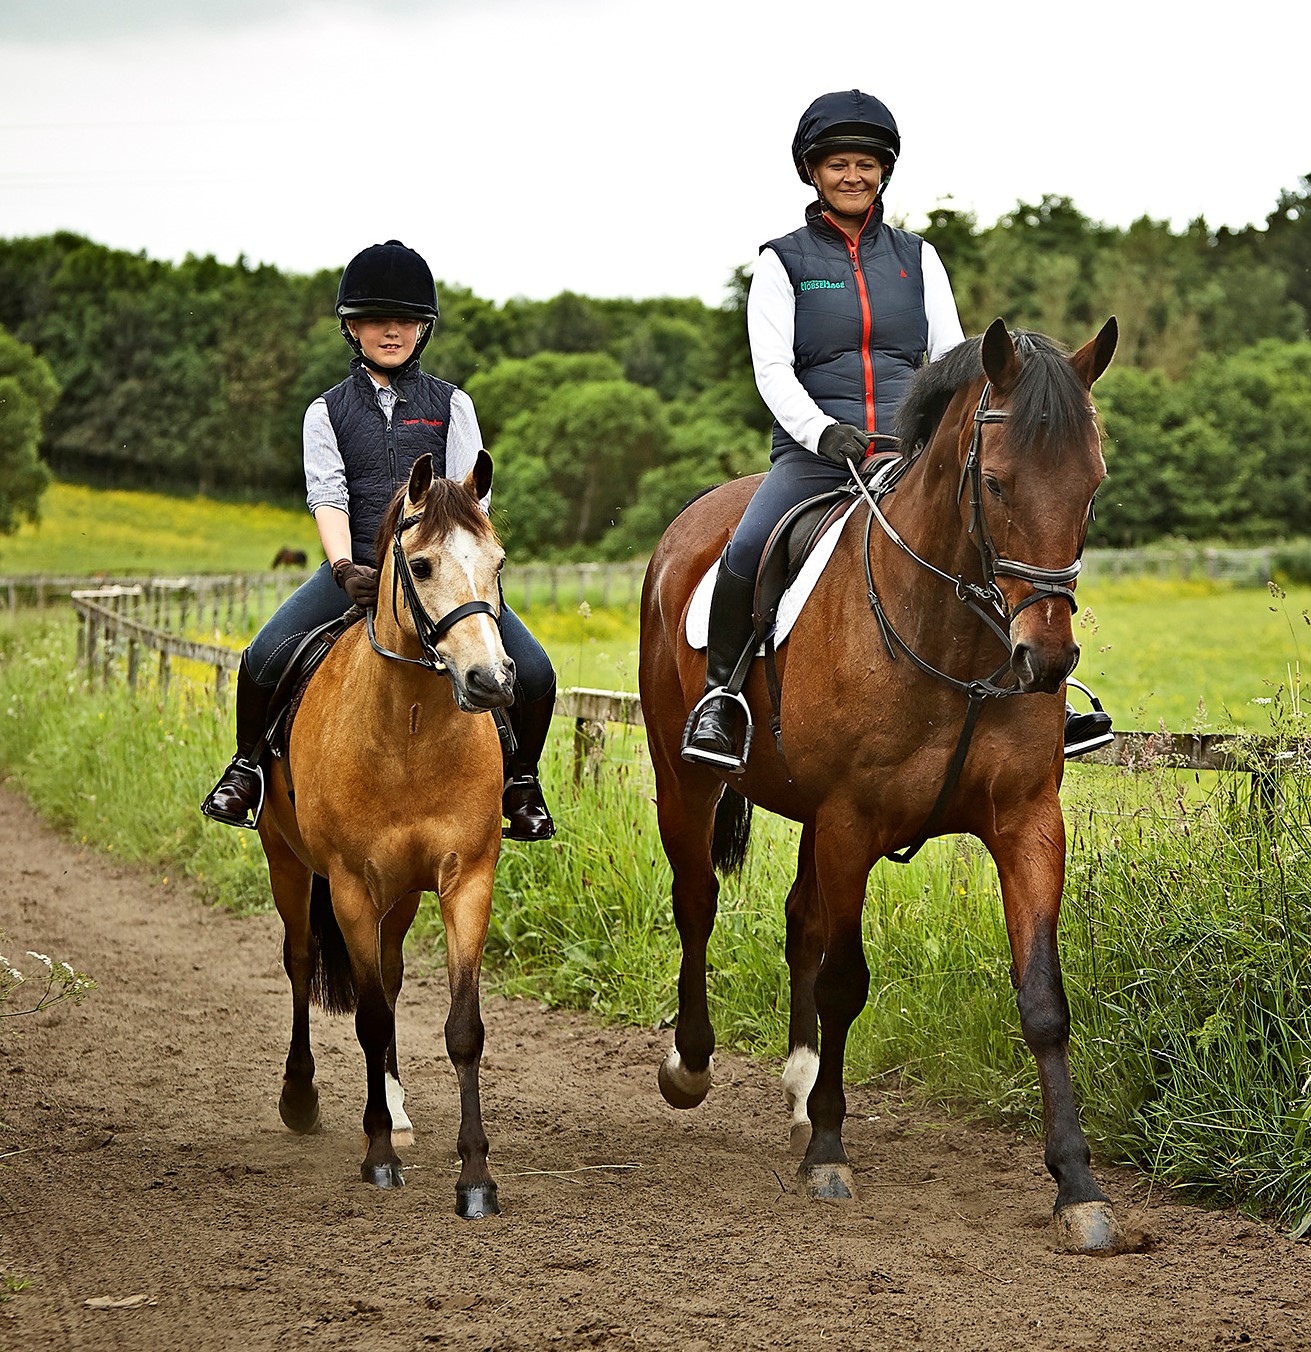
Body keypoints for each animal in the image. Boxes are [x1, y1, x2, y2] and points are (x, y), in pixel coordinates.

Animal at [255, 451, 512, 1217]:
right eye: (421, 566)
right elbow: (366, 1017)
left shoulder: (467, 879)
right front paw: (377, 1158)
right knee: (302, 962)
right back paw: (301, 1098)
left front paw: (475, 1176)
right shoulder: (348, 886)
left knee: (392, 980)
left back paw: (395, 1108)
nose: (489, 680)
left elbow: (462, 1028)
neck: (410, 729)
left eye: (498, 562)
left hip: (399, 895)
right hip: (289, 865)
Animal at [638, 318, 1123, 1253]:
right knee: (696, 905)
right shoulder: (850, 823)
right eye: (996, 482)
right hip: (685, 782)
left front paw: (1077, 1187)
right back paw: (691, 1063)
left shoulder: (1026, 823)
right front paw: (829, 1151)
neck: (954, 639)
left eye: (1092, 488)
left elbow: (1043, 1000)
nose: (1045, 660)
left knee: (799, 921)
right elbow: (844, 983)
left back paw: (797, 1087)